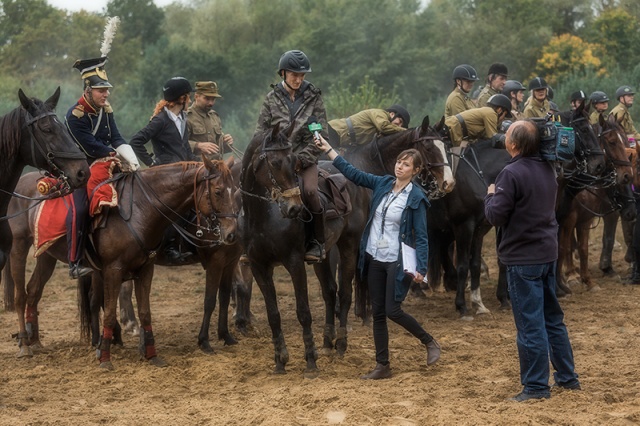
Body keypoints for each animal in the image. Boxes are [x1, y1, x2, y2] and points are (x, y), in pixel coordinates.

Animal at [6, 158, 236, 368]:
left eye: (234, 191)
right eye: (217, 191)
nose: (231, 233)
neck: (140, 210)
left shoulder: (145, 269)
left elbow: (145, 313)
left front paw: (151, 355)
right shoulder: (114, 270)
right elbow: (108, 313)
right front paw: (105, 358)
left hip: (47, 255)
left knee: (34, 290)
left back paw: (36, 341)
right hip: (19, 246)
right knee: (21, 295)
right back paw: (25, 344)